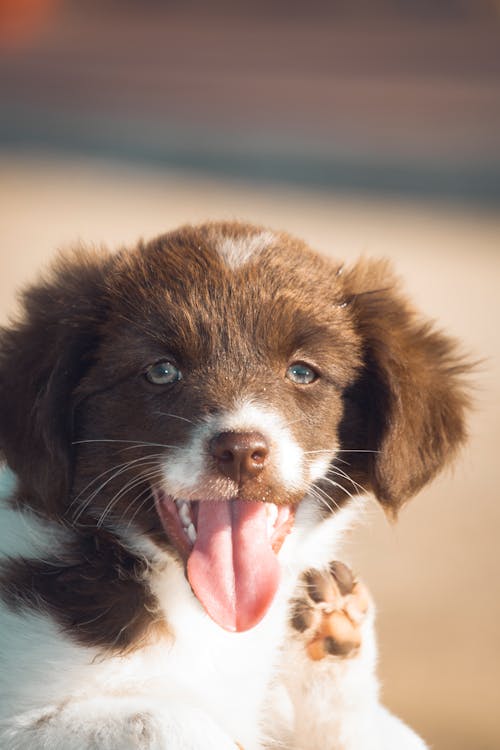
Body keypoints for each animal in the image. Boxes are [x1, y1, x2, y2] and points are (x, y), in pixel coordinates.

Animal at [0, 223, 468, 750]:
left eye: (302, 371)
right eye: (161, 370)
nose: (242, 452)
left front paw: (332, 649)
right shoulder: (22, 713)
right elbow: (165, 718)